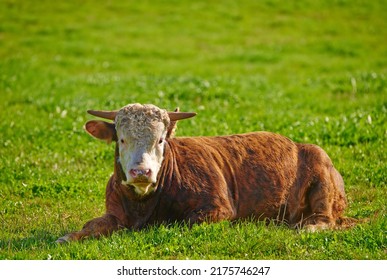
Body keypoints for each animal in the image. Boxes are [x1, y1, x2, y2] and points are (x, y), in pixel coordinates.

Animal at [56, 103, 354, 243]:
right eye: (121, 139)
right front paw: (68, 237)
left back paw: (308, 227)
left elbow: (181, 222)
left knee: (325, 219)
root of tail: (298, 145)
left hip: (321, 173)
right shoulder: (115, 212)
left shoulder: (217, 209)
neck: (144, 204)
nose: (141, 171)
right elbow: (91, 225)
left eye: (160, 140)